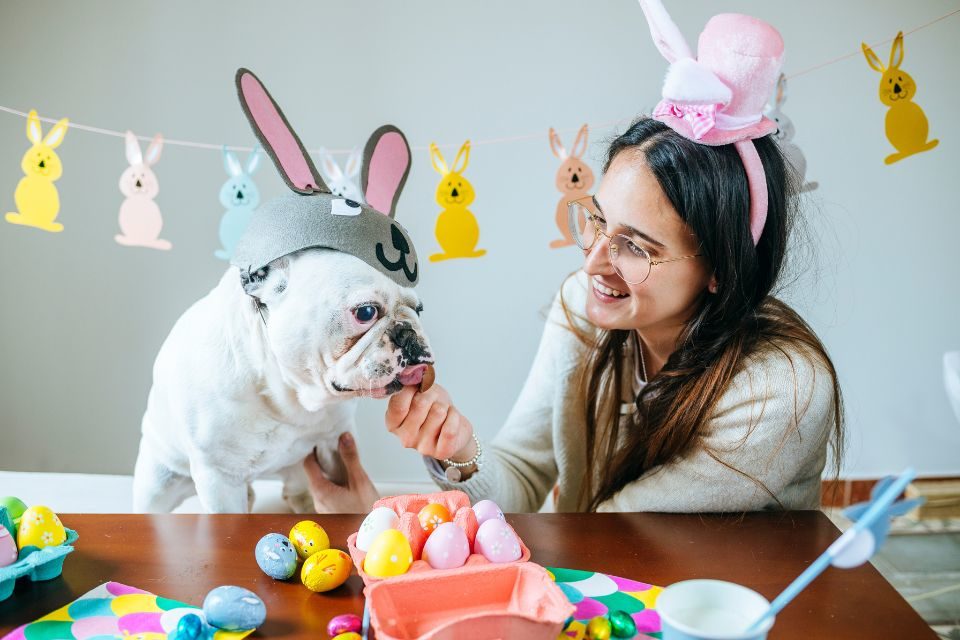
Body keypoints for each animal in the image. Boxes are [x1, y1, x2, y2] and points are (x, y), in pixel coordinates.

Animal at [132, 67, 432, 512]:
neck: (288, 394)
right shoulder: (219, 478)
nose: (409, 333)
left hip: (295, 473)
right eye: (365, 312)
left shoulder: (329, 448)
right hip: (158, 479)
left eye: (419, 309)